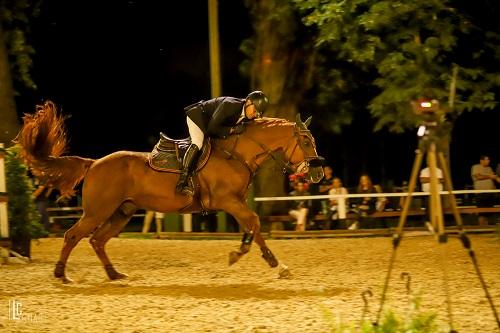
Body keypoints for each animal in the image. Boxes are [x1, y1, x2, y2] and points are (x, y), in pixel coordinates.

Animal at [16, 100, 324, 280]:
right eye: (306, 141)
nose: (318, 173)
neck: (237, 152)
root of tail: (93, 164)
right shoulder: (227, 200)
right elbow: (255, 222)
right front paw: (267, 261)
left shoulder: (235, 201)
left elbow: (253, 227)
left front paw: (250, 255)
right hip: (97, 211)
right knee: (73, 235)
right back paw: (60, 273)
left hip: (122, 211)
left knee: (97, 240)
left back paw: (114, 274)